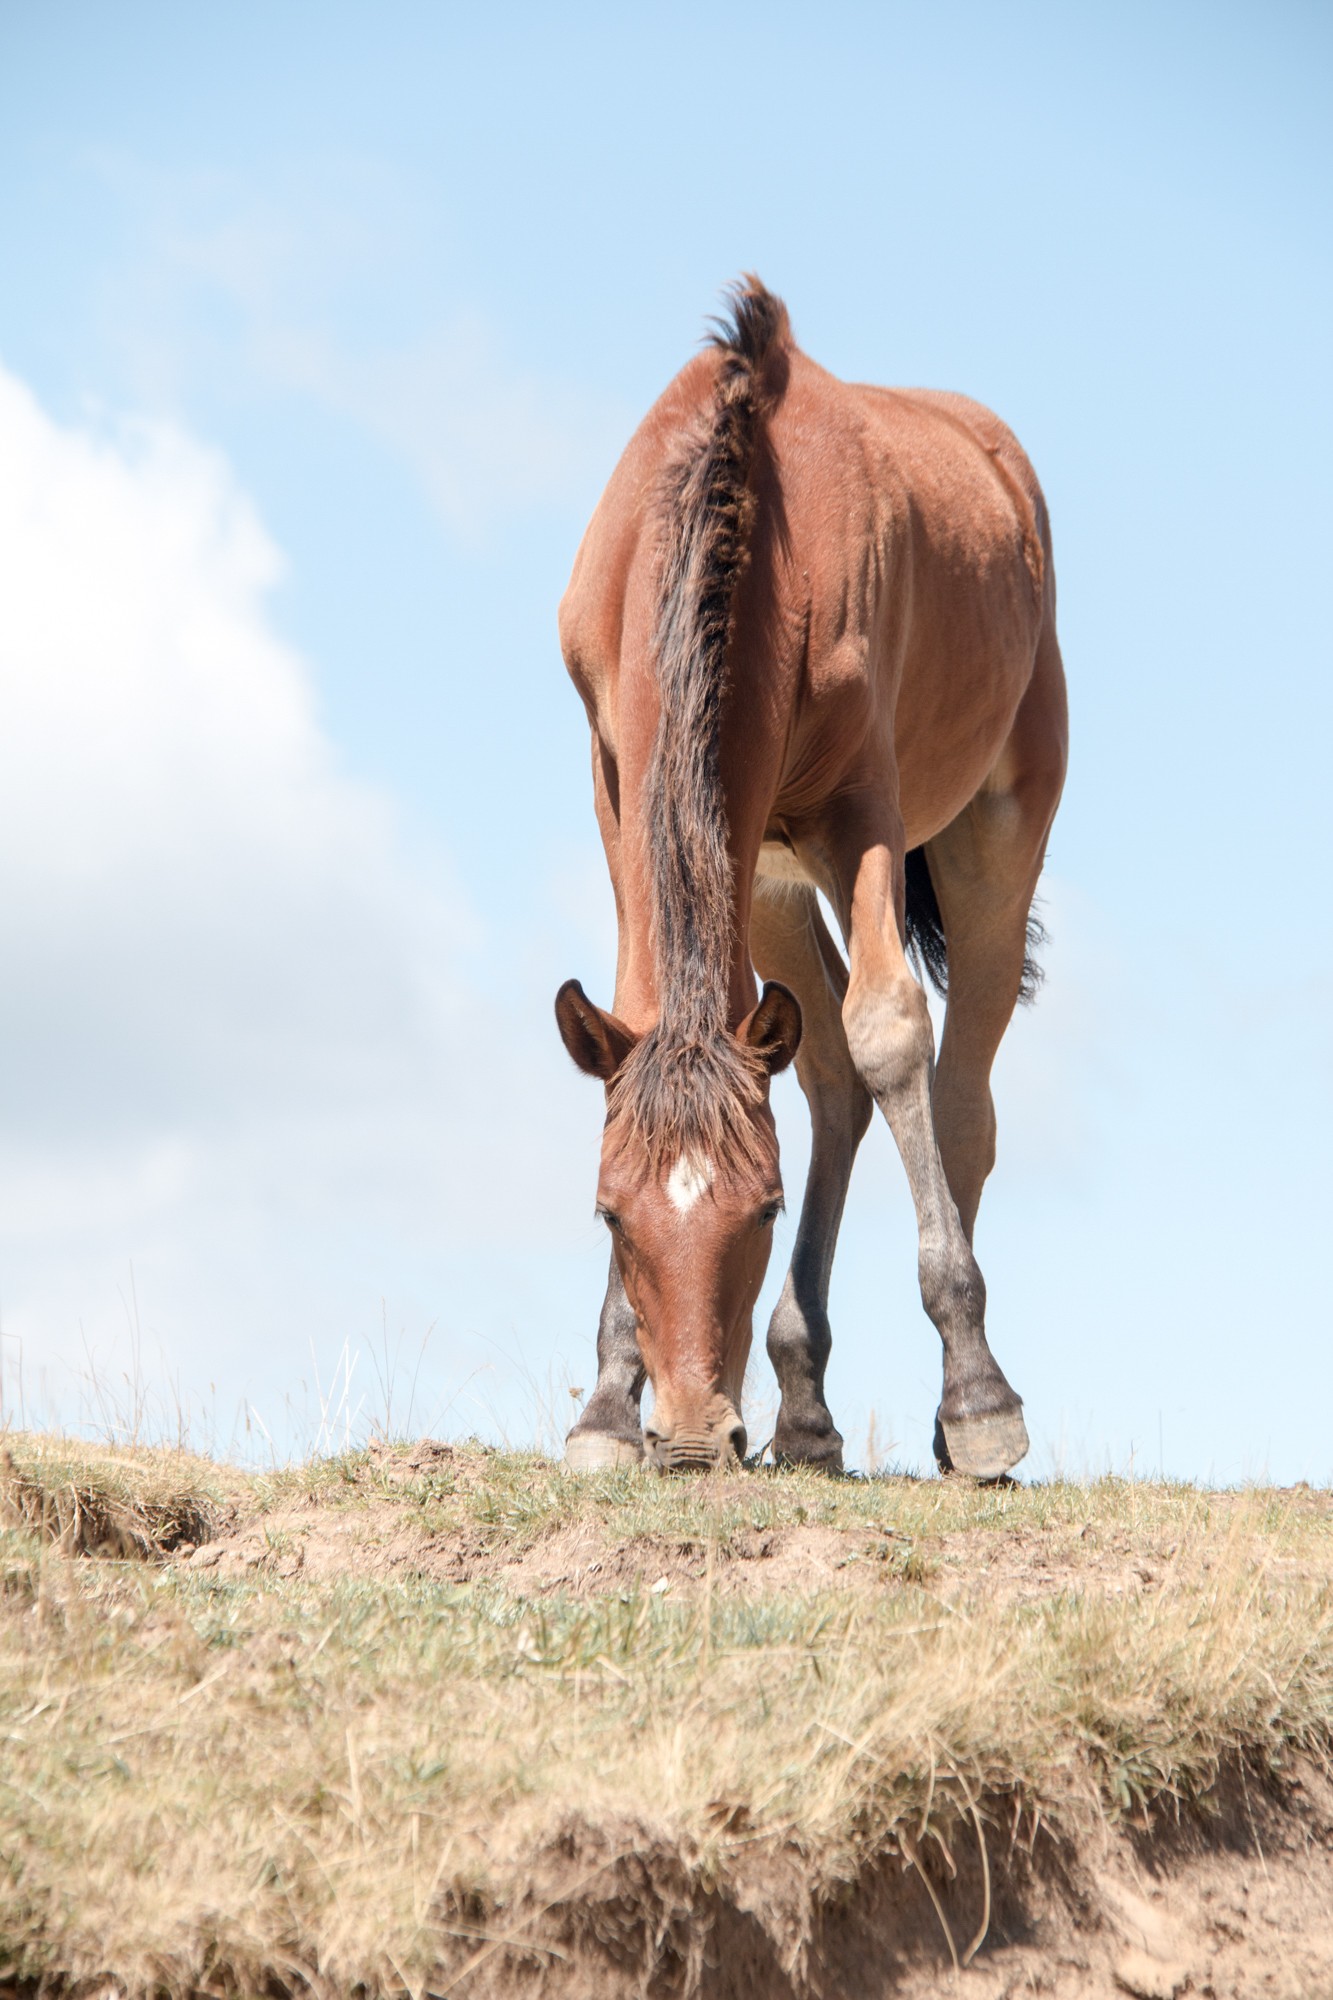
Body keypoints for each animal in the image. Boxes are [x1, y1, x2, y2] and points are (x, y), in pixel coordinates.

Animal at [548, 278, 1056, 1472]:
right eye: (609, 1213)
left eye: (765, 1209)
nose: (695, 1437)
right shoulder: (620, 788)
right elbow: (655, 1020)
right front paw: (607, 1405)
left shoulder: (858, 810)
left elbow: (890, 1030)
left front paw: (978, 1395)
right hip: (766, 878)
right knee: (822, 1069)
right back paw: (805, 1404)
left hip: (994, 832)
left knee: (956, 1095)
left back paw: (956, 1405)